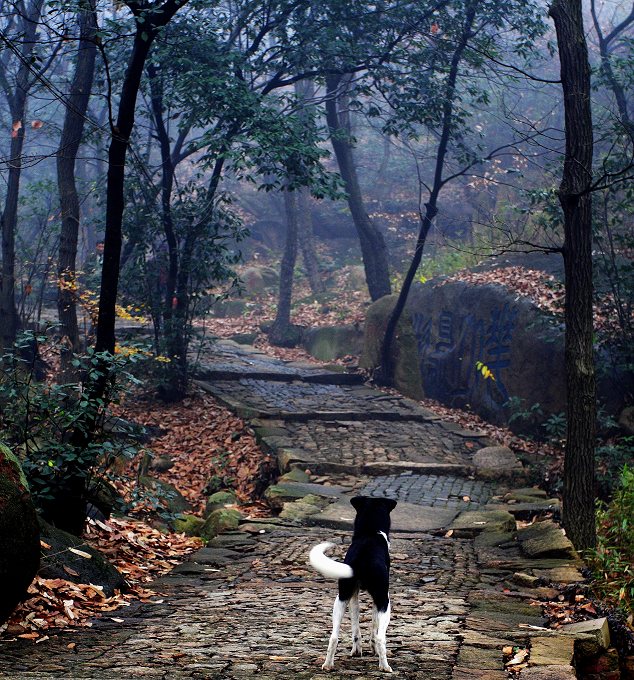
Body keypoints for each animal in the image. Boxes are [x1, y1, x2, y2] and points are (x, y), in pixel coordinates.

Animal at [308, 496, 396, 672]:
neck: (370, 533)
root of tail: (362, 559)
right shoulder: (379, 600)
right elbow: (374, 627)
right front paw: (373, 650)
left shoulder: (353, 596)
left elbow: (356, 626)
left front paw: (357, 651)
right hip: (385, 602)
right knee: (381, 637)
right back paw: (385, 667)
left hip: (340, 599)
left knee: (334, 637)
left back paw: (328, 665)